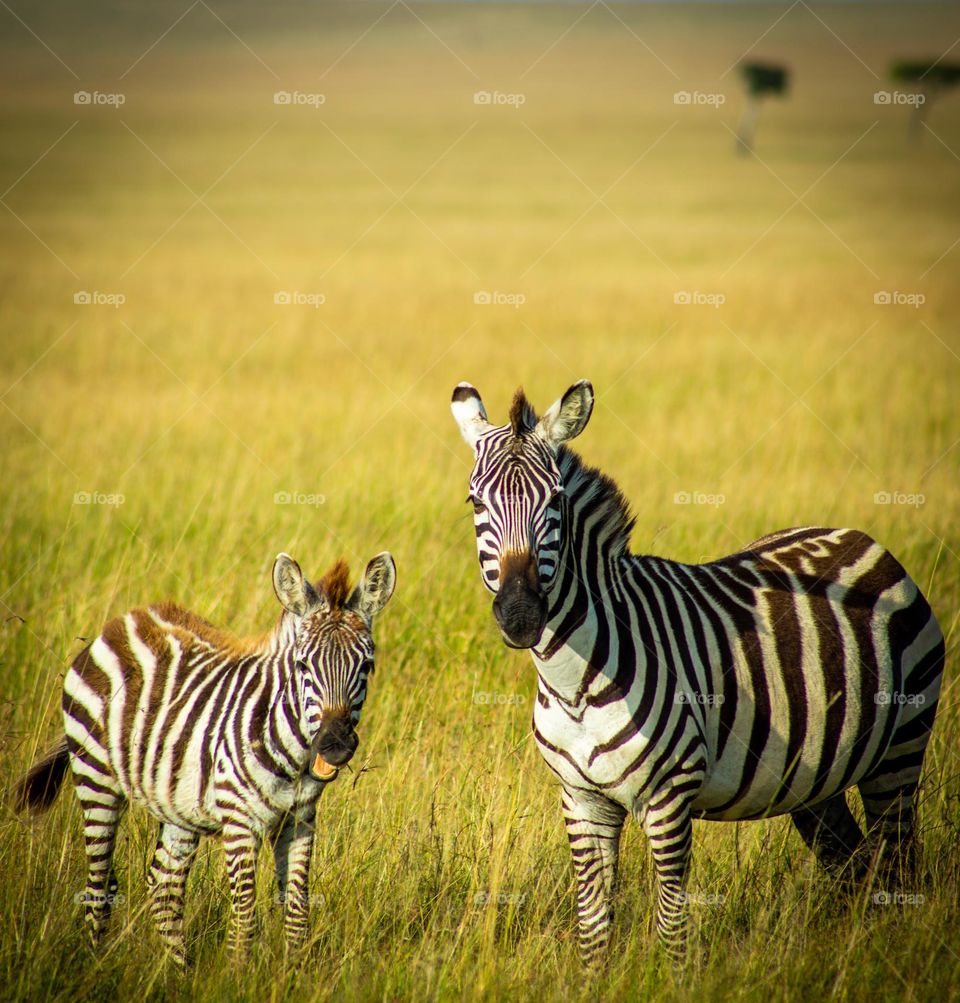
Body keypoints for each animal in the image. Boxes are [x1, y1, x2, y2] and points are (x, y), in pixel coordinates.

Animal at [14, 551, 396, 965]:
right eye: (303, 666)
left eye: (367, 666)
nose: (335, 744)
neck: (293, 760)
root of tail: (124, 621)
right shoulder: (239, 819)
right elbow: (245, 914)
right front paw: (237, 973)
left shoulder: (300, 820)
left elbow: (297, 909)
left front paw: (295, 971)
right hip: (96, 777)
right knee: (100, 884)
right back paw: (98, 965)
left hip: (177, 801)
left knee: (164, 883)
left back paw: (179, 971)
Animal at [450, 378, 944, 965]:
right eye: (475, 502)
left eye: (556, 502)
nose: (521, 615)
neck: (573, 685)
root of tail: (861, 538)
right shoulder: (582, 800)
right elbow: (593, 930)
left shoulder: (670, 797)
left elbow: (671, 927)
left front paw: (673, 976)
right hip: (815, 780)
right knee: (853, 866)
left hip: (900, 750)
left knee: (896, 866)